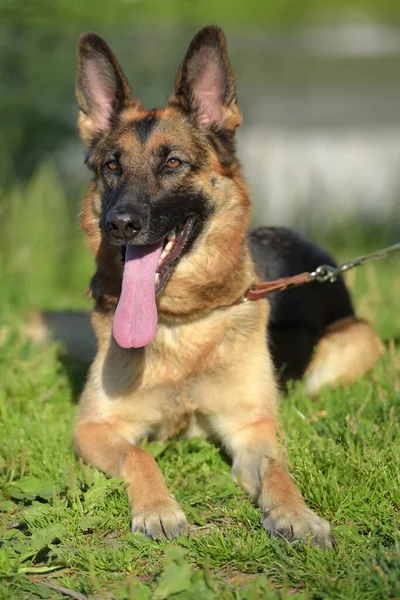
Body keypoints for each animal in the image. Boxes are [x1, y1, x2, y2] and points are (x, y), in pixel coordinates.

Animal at [66, 27, 384, 548]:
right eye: (112, 166)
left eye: (173, 163)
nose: (120, 224)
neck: (181, 322)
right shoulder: (95, 428)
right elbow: (141, 454)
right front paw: (157, 508)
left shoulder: (252, 428)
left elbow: (278, 470)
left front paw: (296, 514)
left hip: (355, 340)